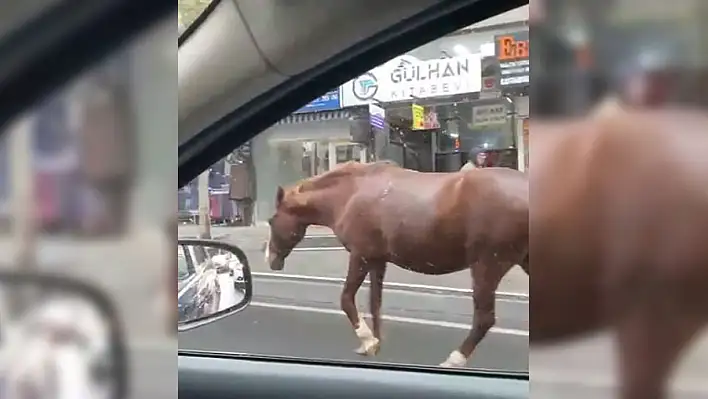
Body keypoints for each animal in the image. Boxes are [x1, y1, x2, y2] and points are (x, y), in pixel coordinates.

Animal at [264, 161, 524, 368]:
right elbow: (375, 304)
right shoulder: (377, 261)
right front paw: (375, 343)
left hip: (487, 266)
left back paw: (454, 359)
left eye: (271, 220)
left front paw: (368, 341)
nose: (270, 259)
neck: (349, 194)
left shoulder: (360, 256)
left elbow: (347, 299)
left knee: (484, 319)